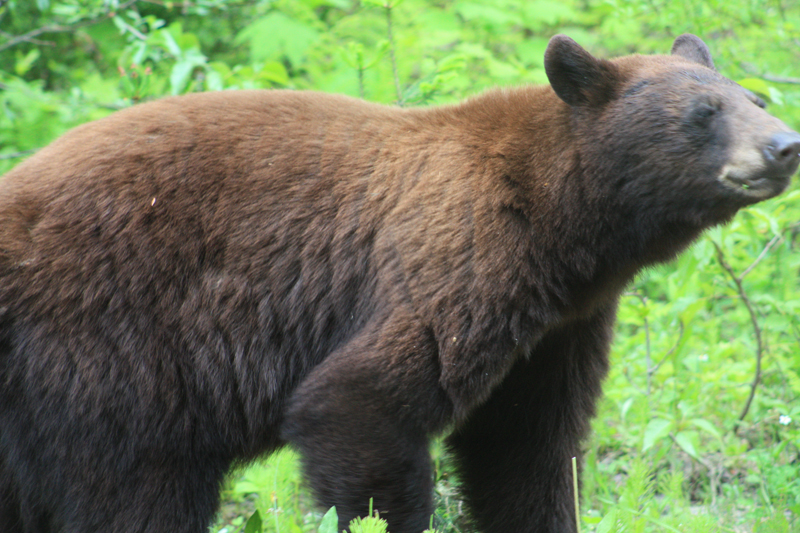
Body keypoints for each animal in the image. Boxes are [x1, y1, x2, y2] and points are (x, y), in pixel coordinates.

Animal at [1, 34, 800, 532]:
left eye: (756, 99)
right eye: (704, 113)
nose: (784, 145)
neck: (560, 224)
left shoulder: (558, 328)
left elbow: (527, 450)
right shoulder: (456, 262)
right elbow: (358, 403)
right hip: (111, 353)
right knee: (136, 491)